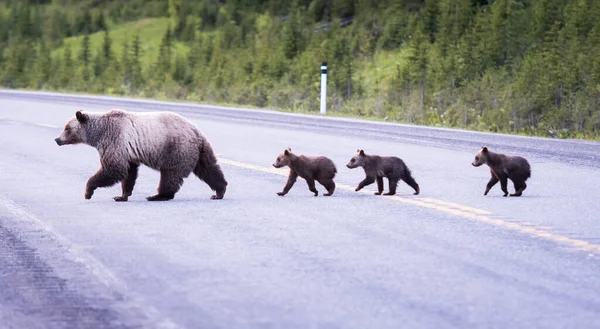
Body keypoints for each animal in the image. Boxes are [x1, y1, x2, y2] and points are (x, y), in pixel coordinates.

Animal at [54, 109, 227, 201]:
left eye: (67, 128)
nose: (57, 139)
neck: (99, 133)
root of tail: (196, 131)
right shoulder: (127, 151)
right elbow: (128, 172)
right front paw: (122, 196)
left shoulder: (114, 141)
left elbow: (113, 169)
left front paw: (88, 191)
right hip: (199, 151)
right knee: (209, 168)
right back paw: (219, 191)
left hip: (176, 148)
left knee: (170, 175)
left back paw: (157, 196)